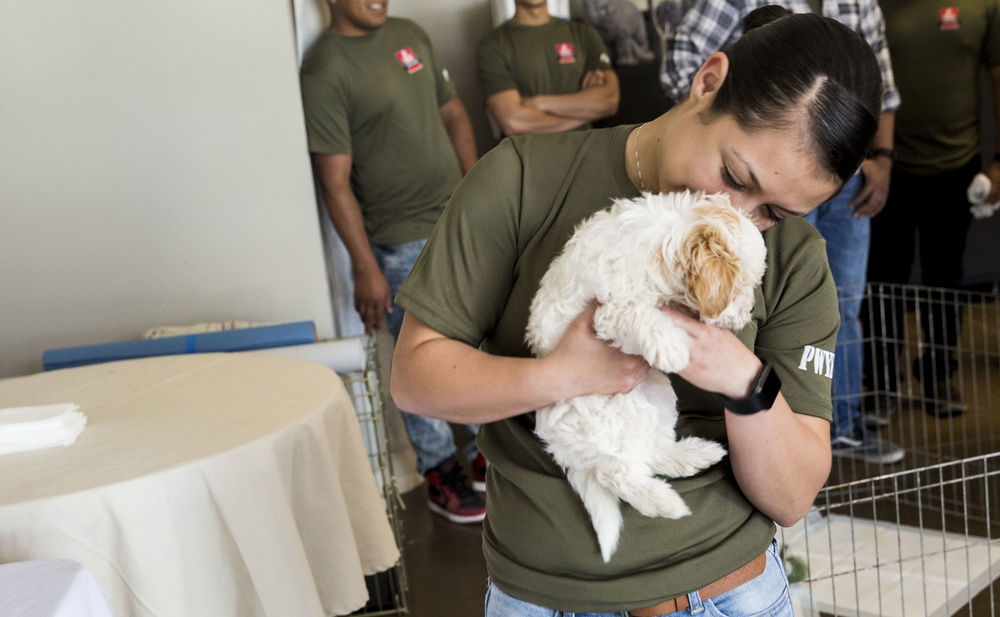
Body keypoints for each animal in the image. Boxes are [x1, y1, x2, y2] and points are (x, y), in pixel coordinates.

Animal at [528, 190, 768, 560]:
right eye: (742, 286)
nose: (751, 309)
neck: (664, 240)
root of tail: (562, 448)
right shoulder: (611, 310)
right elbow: (642, 317)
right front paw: (671, 346)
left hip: (657, 394)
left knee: (653, 452)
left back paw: (697, 455)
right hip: (609, 419)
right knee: (618, 473)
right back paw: (664, 502)